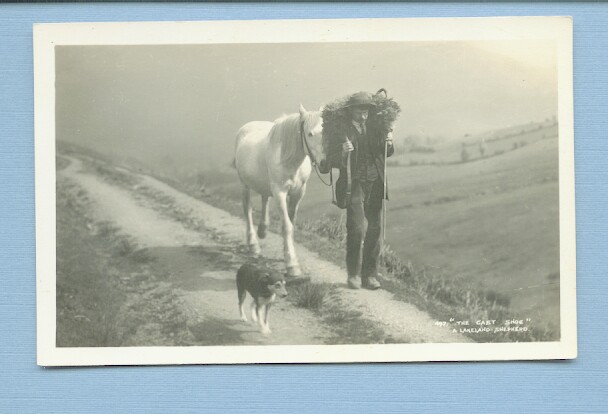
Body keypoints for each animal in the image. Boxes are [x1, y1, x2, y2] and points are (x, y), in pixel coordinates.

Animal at [234, 105, 328, 276]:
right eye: (309, 134)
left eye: (325, 132)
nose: (325, 164)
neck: (290, 160)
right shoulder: (279, 192)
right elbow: (287, 226)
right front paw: (292, 265)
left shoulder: (298, 192)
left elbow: (292, 222)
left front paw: (288, 255)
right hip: (244, 184)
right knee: (247, 209)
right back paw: (253, 244)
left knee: (264, 198)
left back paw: (263, 229)